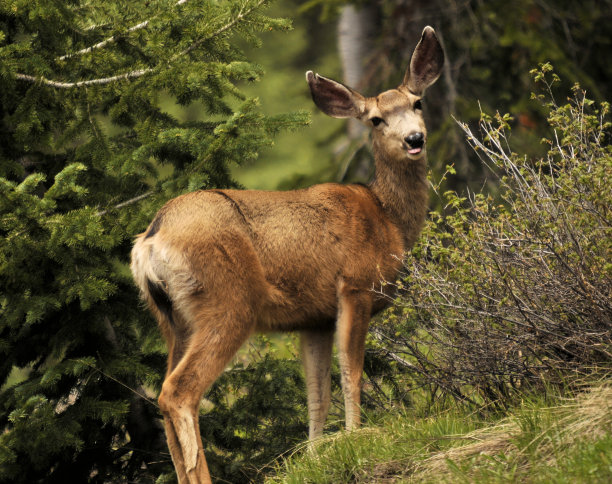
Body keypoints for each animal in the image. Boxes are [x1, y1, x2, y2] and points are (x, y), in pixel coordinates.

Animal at [130, 26, 444, 484]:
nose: (414, 139)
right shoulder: (355, 286)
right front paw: (356, 439)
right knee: (177, 393)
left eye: (417, 104)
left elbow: (317, 394)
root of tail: (151, 240)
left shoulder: (313, 319)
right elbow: (351, 374)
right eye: (375, 119)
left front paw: (315, 456)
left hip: (171, 319)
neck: (388, 219)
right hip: (229, 301)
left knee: (161, 399)